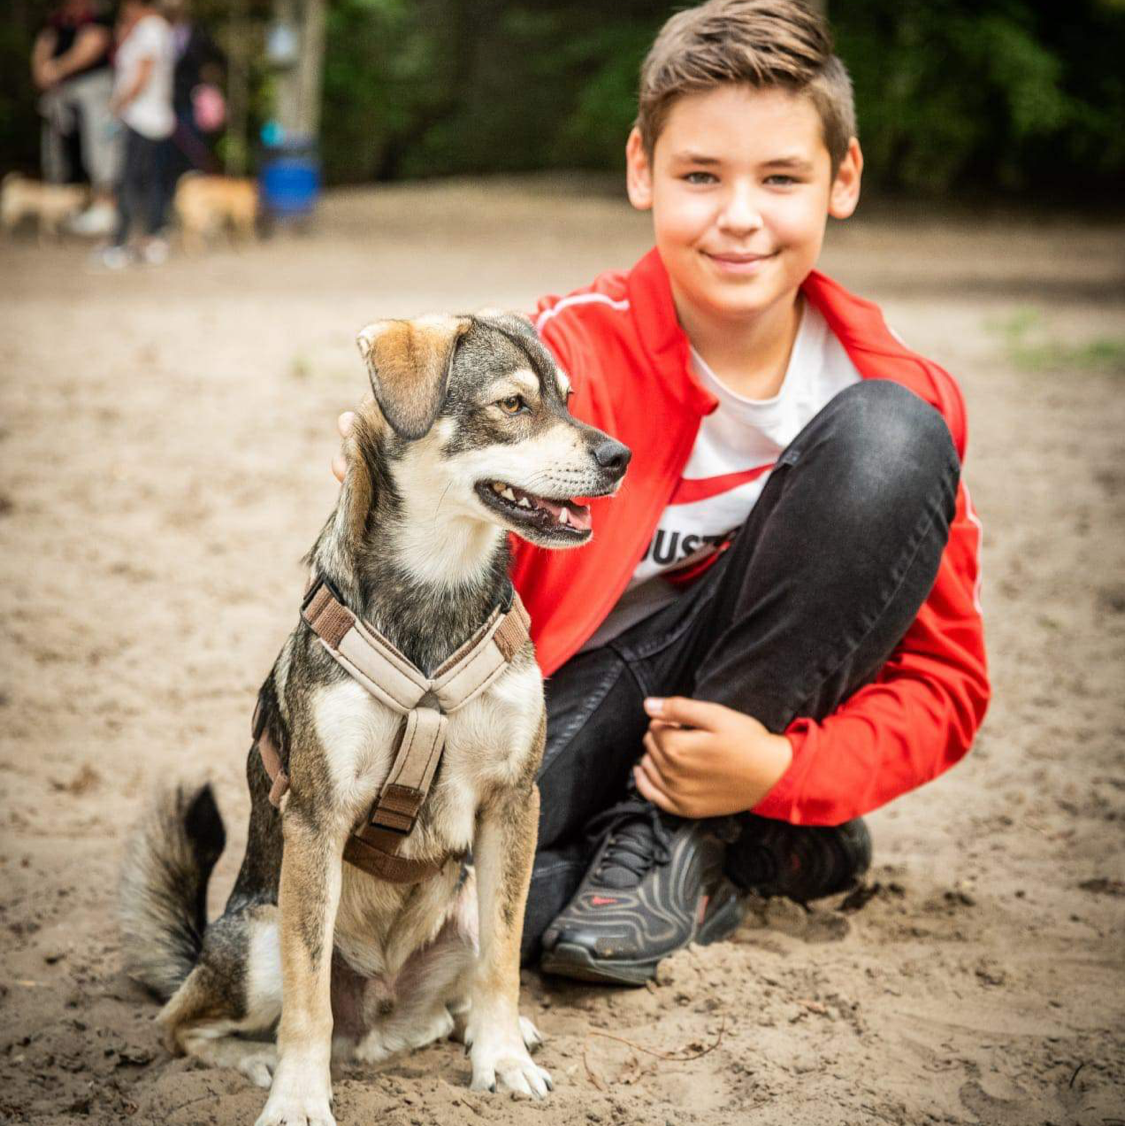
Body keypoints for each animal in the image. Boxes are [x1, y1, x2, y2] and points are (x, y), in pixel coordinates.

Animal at [119, 311, 631, 1125]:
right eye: (513, 405)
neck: (439, 586)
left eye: (568, 398)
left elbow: (503, 961)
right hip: (260, 938)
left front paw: (502, 1061)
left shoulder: (513, 800)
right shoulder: (316, 817)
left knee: (466, 983)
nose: (620, 457)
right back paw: (259, 1060)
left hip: (464, 901)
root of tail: (383, 1024)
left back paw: (488, 1028)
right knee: (180, 1023)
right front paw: (299, 1098)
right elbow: (308, 1000)